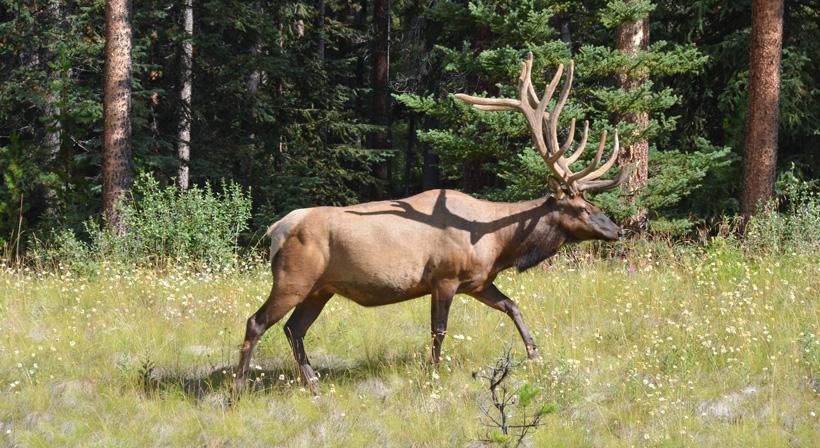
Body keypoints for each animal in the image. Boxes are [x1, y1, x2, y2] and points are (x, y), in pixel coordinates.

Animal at [233, 53, 631, 396]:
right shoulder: (444, 277)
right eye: (582, 207)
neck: (498, 244)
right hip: (293, 278)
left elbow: (513, 305)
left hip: (321, 288)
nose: (616, 230)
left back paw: (313, 383)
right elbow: (439, 330)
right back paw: (238, 389)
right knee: (257, 322)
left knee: (293, 328)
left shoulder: (478, 281)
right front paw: (434, 374)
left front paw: (535, 353)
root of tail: (275, 229)